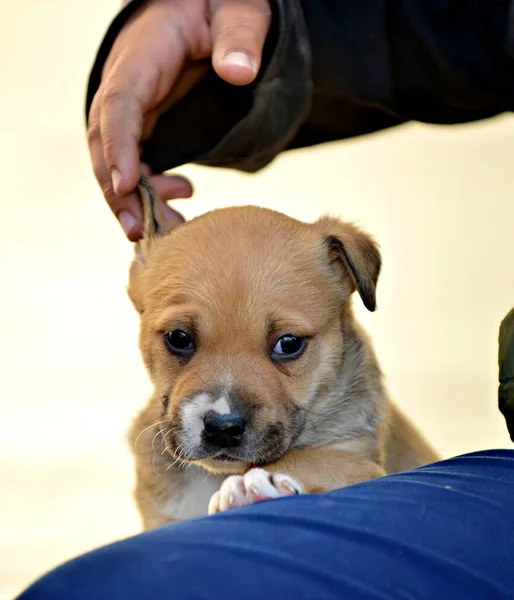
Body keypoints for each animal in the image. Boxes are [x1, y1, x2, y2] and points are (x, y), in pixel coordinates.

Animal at [125, 178, 436, 528]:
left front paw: (253, 484)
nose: (222, 429)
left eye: (288, 344)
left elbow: (314, 458)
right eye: (178, 338)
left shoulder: (364, 462)